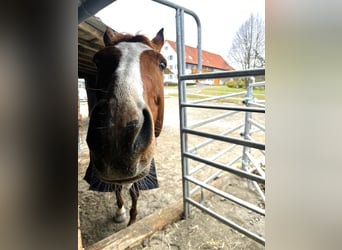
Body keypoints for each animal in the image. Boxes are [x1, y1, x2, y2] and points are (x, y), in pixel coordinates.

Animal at [85, 26, 166, 226]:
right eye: (98, 61)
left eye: (162, 64)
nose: (117, 136)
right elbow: (117, 188)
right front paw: (120, 212)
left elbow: (134, 193)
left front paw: (132, 221)